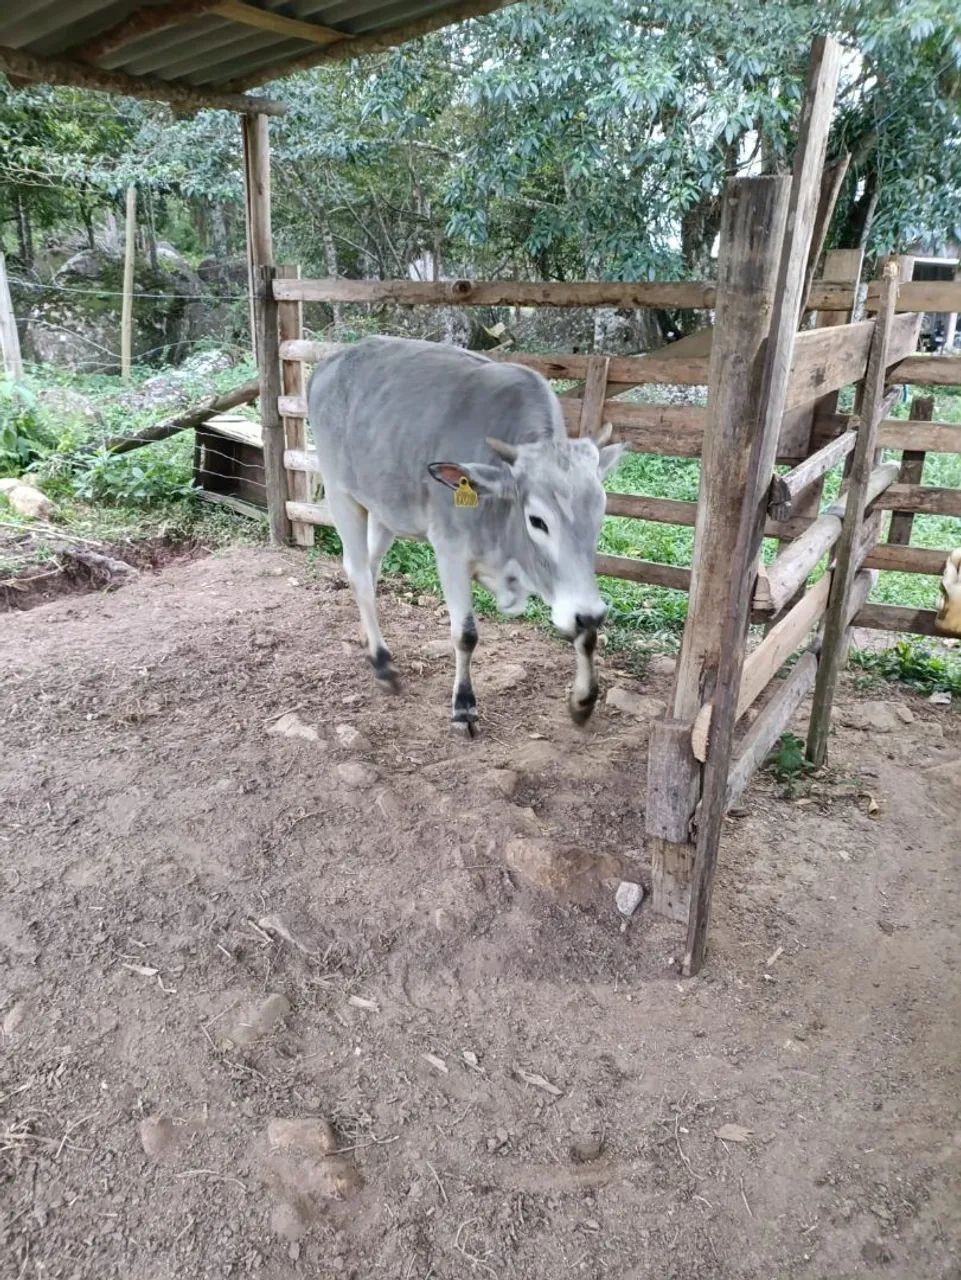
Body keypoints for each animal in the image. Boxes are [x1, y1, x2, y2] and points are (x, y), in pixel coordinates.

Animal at [308, 336, 627, 735]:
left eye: (599, 515)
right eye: (537, 521)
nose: (591, 614)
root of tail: (330, 363)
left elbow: (585, 631)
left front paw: (583, 700)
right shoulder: (450, 552)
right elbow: (466, 634)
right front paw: (463, 707)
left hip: (383, 511)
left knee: (369, 567)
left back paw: (370, 642)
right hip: (341, 495)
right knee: (359, 573)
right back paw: (382, 663)